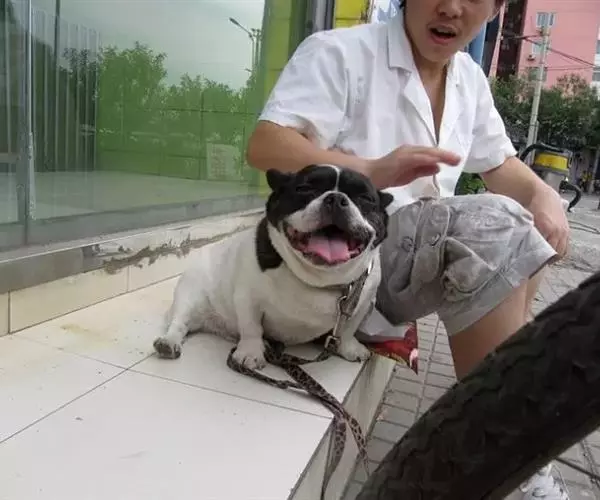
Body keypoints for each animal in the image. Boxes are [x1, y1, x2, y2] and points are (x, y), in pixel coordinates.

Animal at [153, 164, 394, 370]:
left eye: (365, 198)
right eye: (304, 189)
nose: (336, 198)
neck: (319, 278)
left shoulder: (362, 305)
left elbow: (348, 331)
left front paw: (349, 348)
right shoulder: (247, 298)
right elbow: (251, 327)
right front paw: (250, 353)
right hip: (190, 293)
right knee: (180, 322)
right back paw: (169, 342)